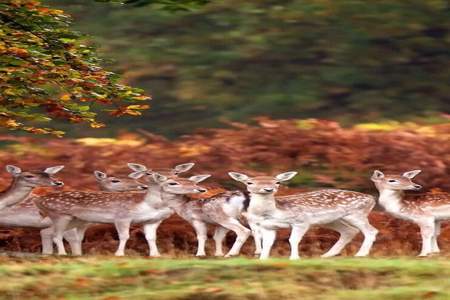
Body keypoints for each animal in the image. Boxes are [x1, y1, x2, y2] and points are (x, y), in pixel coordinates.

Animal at [34, 163, 196, 256]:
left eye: (176, 173)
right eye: (149, 173)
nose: (166, 179)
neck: (147, 204)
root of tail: (39, 200)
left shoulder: (152, 220)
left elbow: (151, 237)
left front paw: (156, 255)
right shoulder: (122, 216)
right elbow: (124, 236)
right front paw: (119, 254)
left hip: (76, 219)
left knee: (51, 233)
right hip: (59, 214)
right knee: (57, 235)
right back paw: (62, 254)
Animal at [230, 172, 378, 258]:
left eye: (277, 182)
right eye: (249, 182)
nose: (268, 189)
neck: (275, 211)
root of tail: (371, 198)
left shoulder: (301, 221)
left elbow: (293, 240)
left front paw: (294, 258)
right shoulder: (268, 226)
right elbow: (267, 243)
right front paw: (263, 259)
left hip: (357, 213)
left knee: (371, 230)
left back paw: (361, 254)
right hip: (332, 220)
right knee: (349, 231)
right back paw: (327, 255)